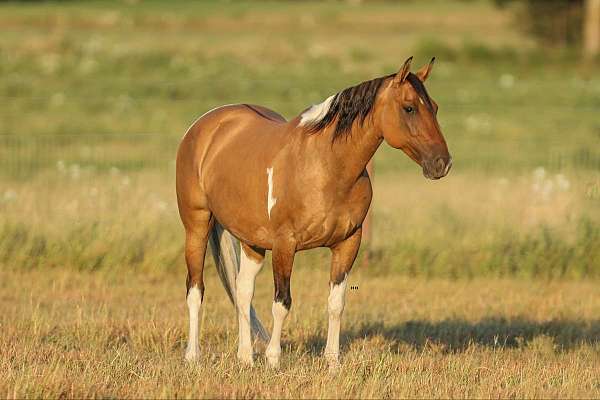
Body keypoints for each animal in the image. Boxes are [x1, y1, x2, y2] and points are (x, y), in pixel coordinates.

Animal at [173, 55, 450, 368]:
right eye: (409, 107)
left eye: (435, 107)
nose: (442, 163)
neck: (325, 166)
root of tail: (206, 124)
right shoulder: (285, 244)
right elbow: (282, 302)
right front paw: (274, 359)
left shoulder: (347, 244)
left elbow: (336, 303)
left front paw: (333, 363)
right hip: (197, 226)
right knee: (195, 290)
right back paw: (193, 356)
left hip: (252, 241)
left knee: (242, 291)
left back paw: (245, 358)